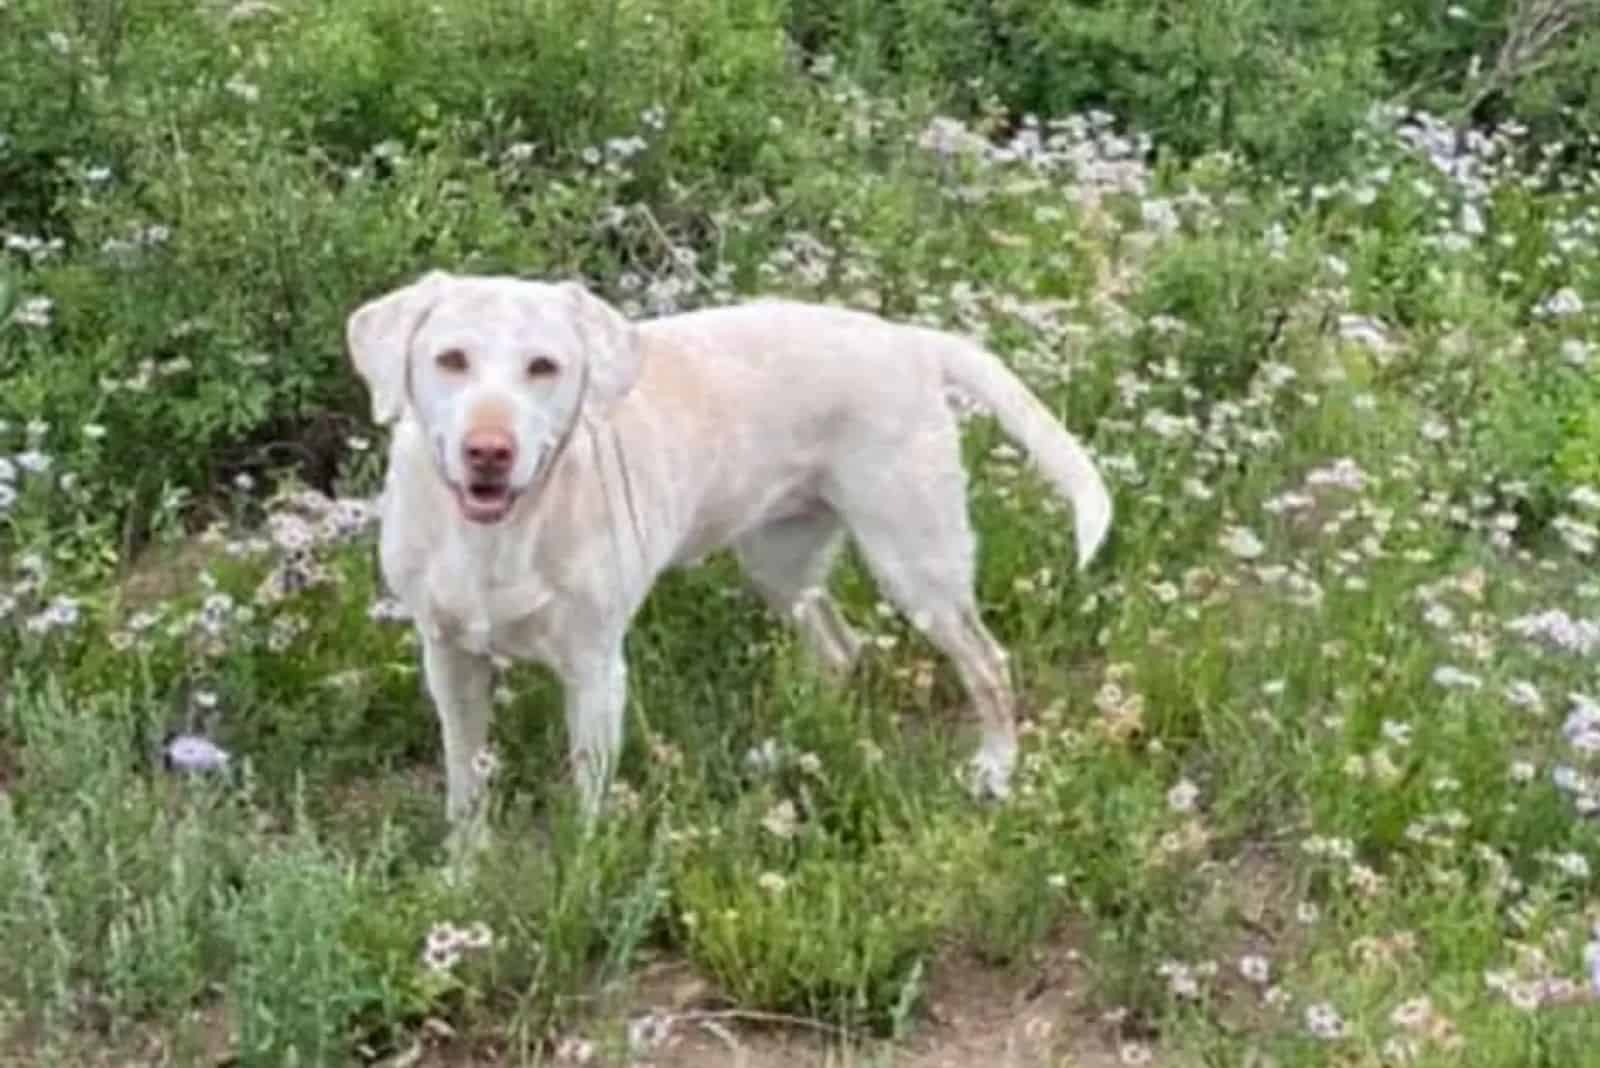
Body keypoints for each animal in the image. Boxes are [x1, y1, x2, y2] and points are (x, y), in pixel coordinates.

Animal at [344, 271, 1107, 824]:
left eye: (544, 367)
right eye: (450, 359)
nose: (489, 452)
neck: (497, 537)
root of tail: (910, 340)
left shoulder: (594, 671)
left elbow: (588, 805)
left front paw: (581, 881)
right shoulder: (449, 660)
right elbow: (463, 785)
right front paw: (462, 874)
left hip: (916, 564)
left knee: (987, 663)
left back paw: (995, 768)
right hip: (779, 565)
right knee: (840, 648)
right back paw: (791, 748)